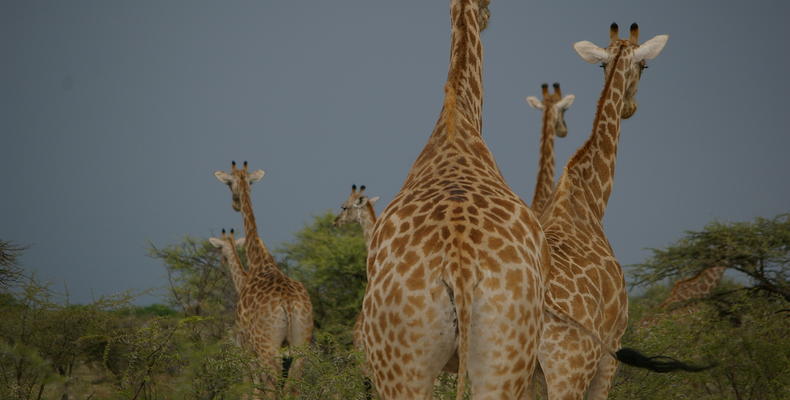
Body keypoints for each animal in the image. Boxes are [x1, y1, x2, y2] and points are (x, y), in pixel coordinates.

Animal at [214, 161, 313, 399]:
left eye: (228, 184)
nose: (235, 204)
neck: (258, 262)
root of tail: (288, 304)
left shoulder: (246, 345)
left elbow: (251, 386)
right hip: (301, 345)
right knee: (293, 387)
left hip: (267, 346)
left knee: (271, 386)